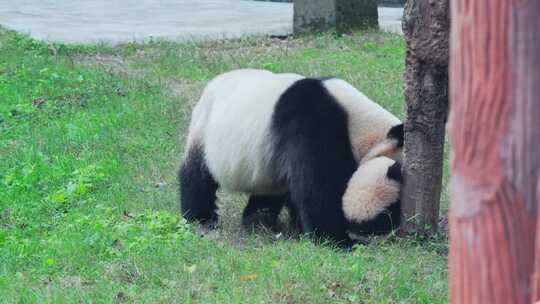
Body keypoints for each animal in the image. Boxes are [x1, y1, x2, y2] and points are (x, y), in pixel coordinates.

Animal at [179, 69, 402, 247]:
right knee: (197, 177)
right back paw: (200, 218)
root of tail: (211, 85)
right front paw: (336, 240)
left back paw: (258, 219)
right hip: (205, 132)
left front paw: (301, 227)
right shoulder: (312, 124)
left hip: (264, 162)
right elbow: (318, 188)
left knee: (268, 191)